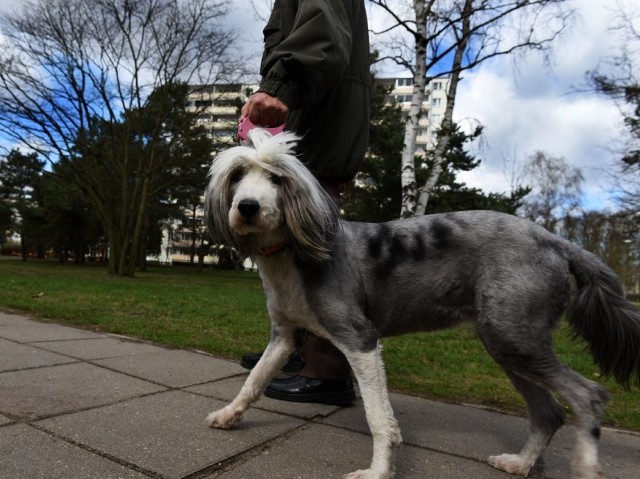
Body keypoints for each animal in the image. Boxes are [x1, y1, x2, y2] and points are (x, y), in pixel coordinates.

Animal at [204, 129, 640, 478]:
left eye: (276, 178)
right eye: (237, 176)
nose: (247, 207)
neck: (290, 254)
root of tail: (557, 241)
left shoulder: (359, 339)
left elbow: (379, 417)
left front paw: (378, 471)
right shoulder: (284, 336)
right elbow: (254, 380)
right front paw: (228, 415)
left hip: (515, 337)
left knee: (588, 396)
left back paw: (585, 466)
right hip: (508, 344)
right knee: (550, 413)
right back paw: (519, 463)